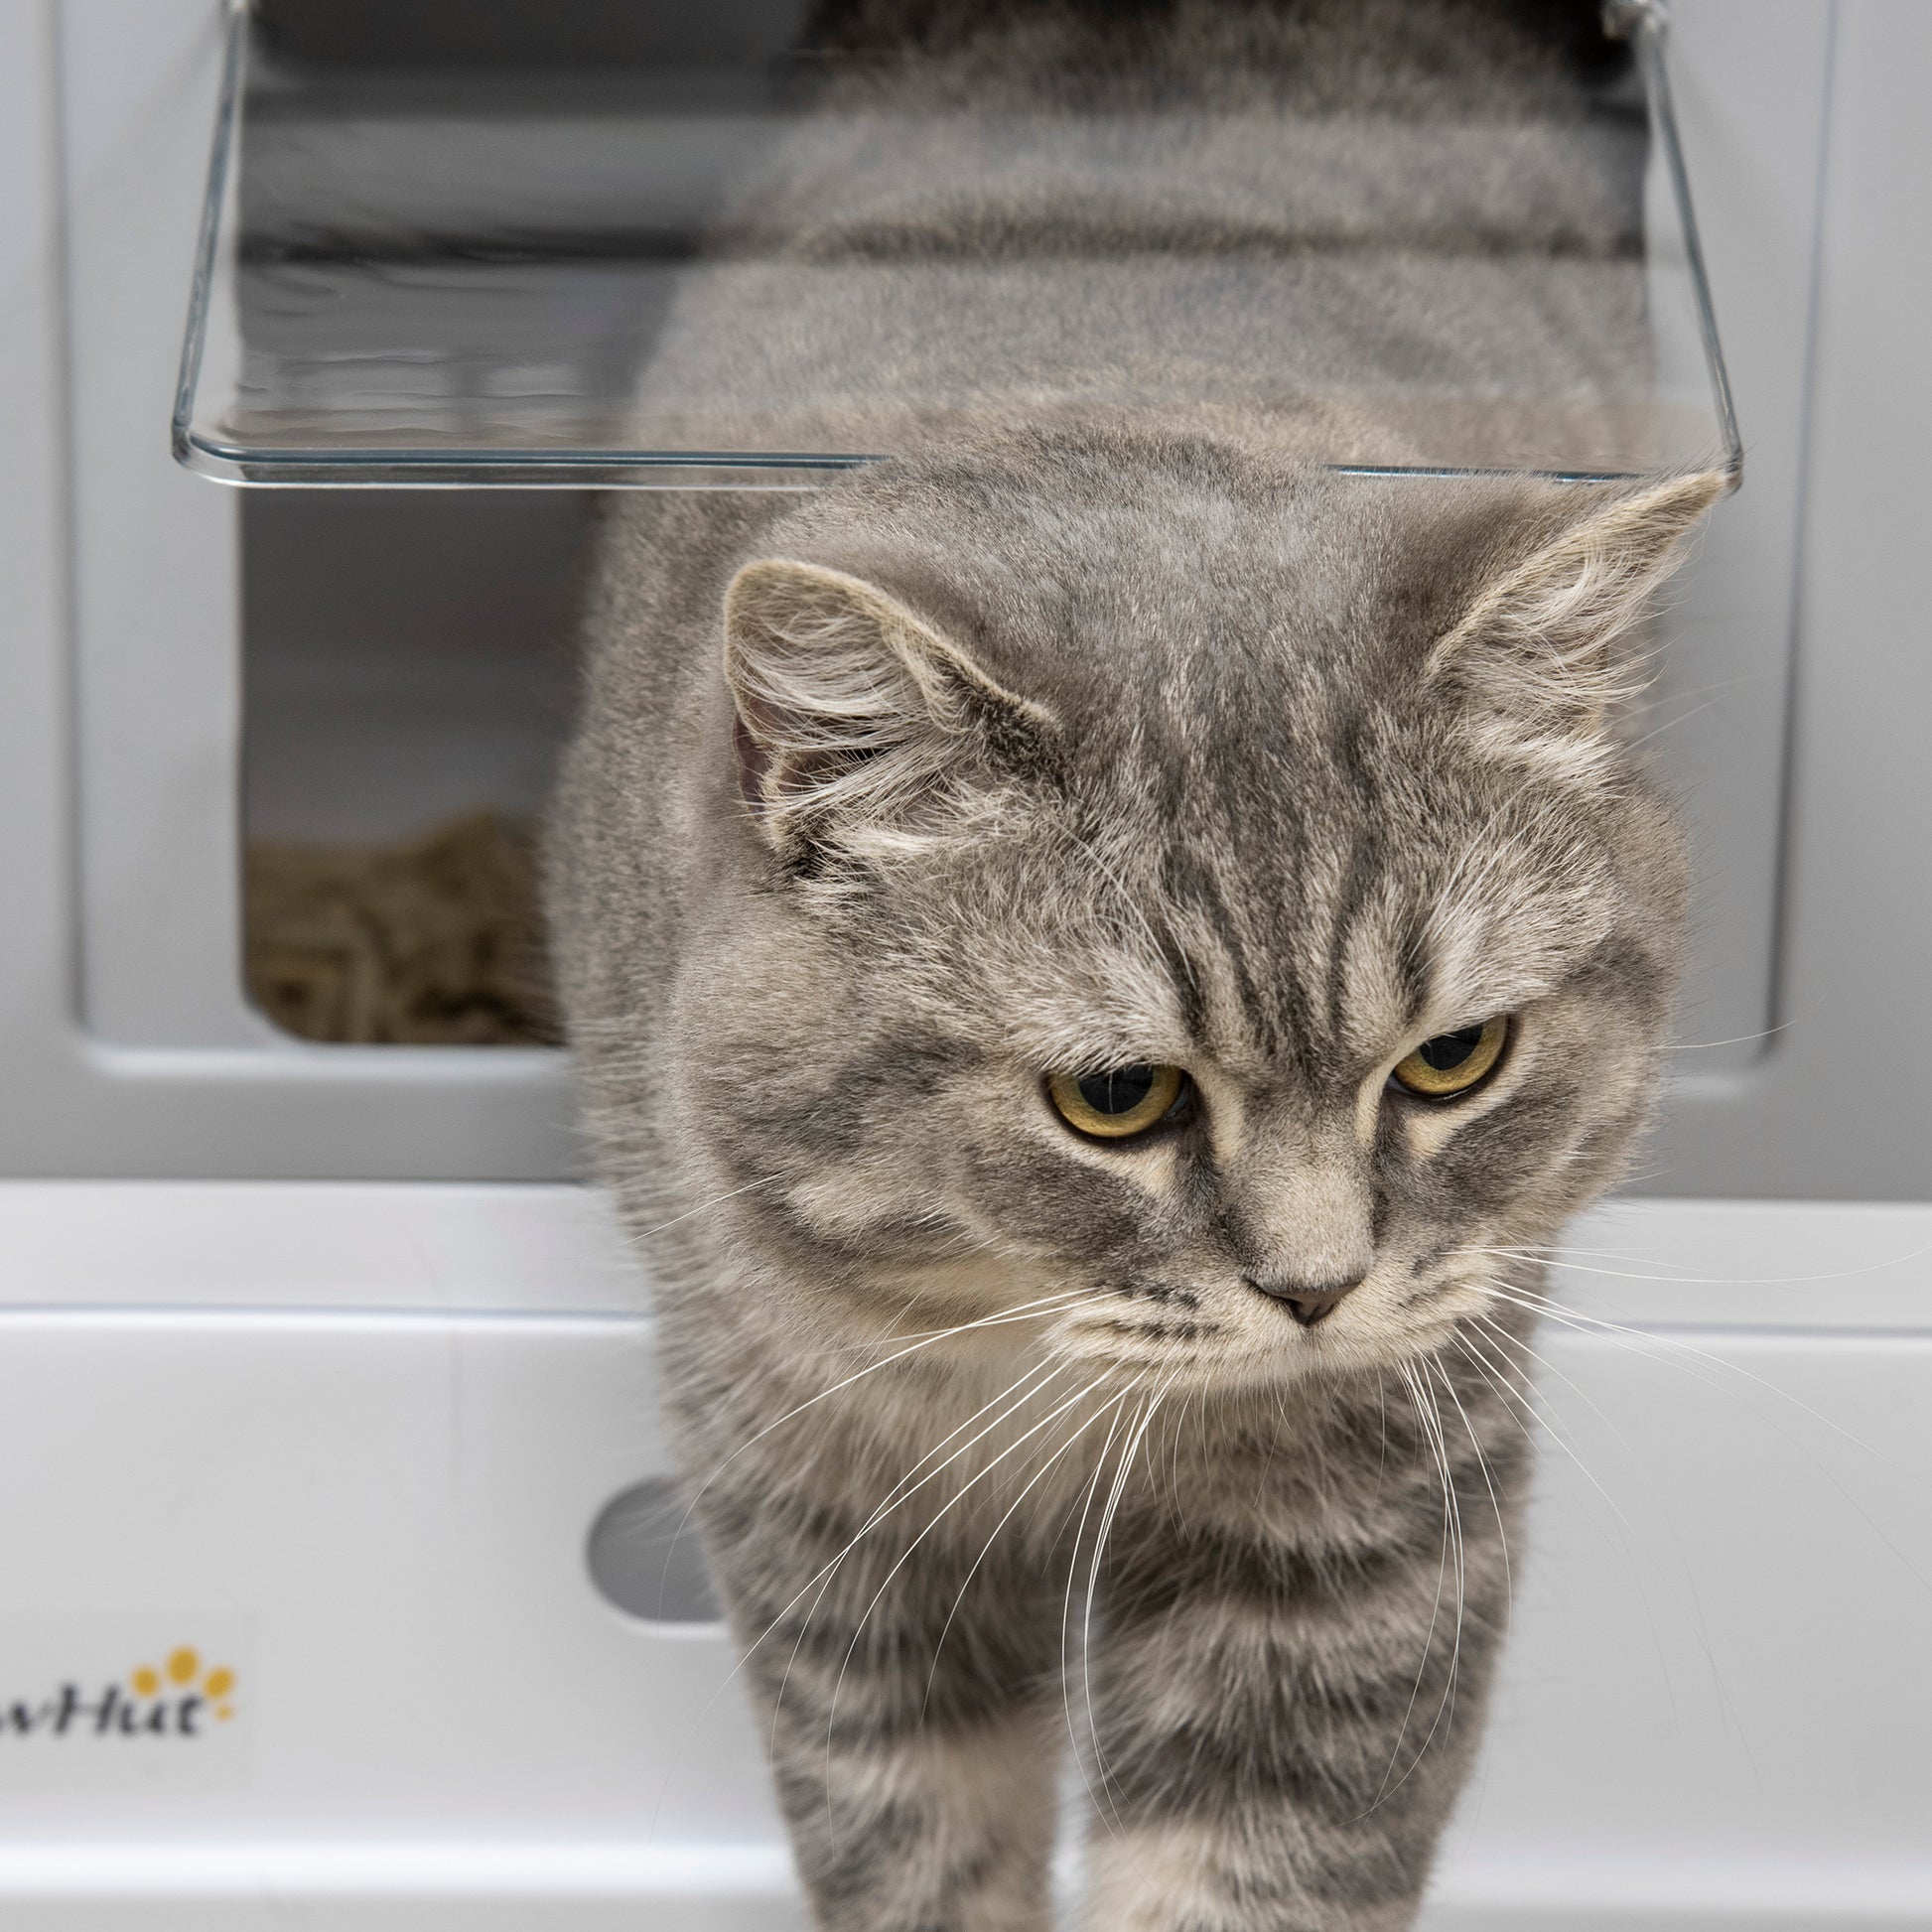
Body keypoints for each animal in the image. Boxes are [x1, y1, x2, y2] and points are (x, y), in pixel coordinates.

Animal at [552, 3, 1730, 1932]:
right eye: (1115, 1095)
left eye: (1453, 1060)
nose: (1319, 1290)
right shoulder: (814, 1493)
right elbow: (912, 1845)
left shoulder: (1361, 1531)